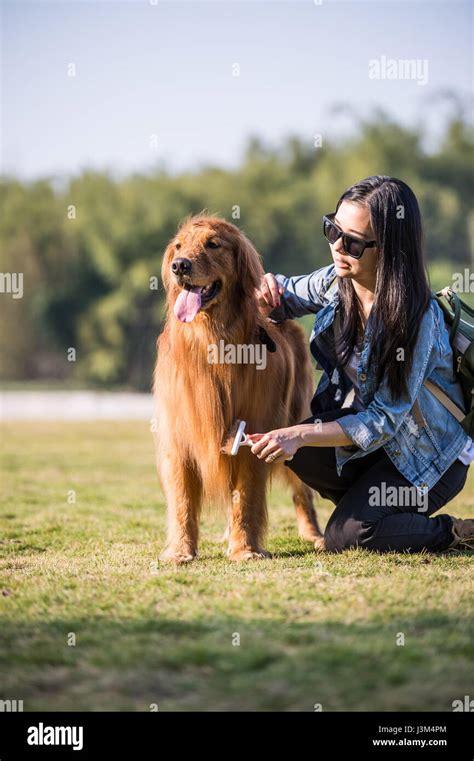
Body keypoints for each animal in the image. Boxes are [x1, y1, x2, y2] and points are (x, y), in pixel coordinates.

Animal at [154, 217, 324, 560]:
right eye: (178, 246)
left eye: (213, 244)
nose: (180, 265)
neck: (211, 339)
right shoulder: (179, 434)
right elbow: (182, 500)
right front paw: (180, 552)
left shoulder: (254, 431)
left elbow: (245, 496)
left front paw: (245, 549)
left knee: (302, 493)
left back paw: (314, 535)